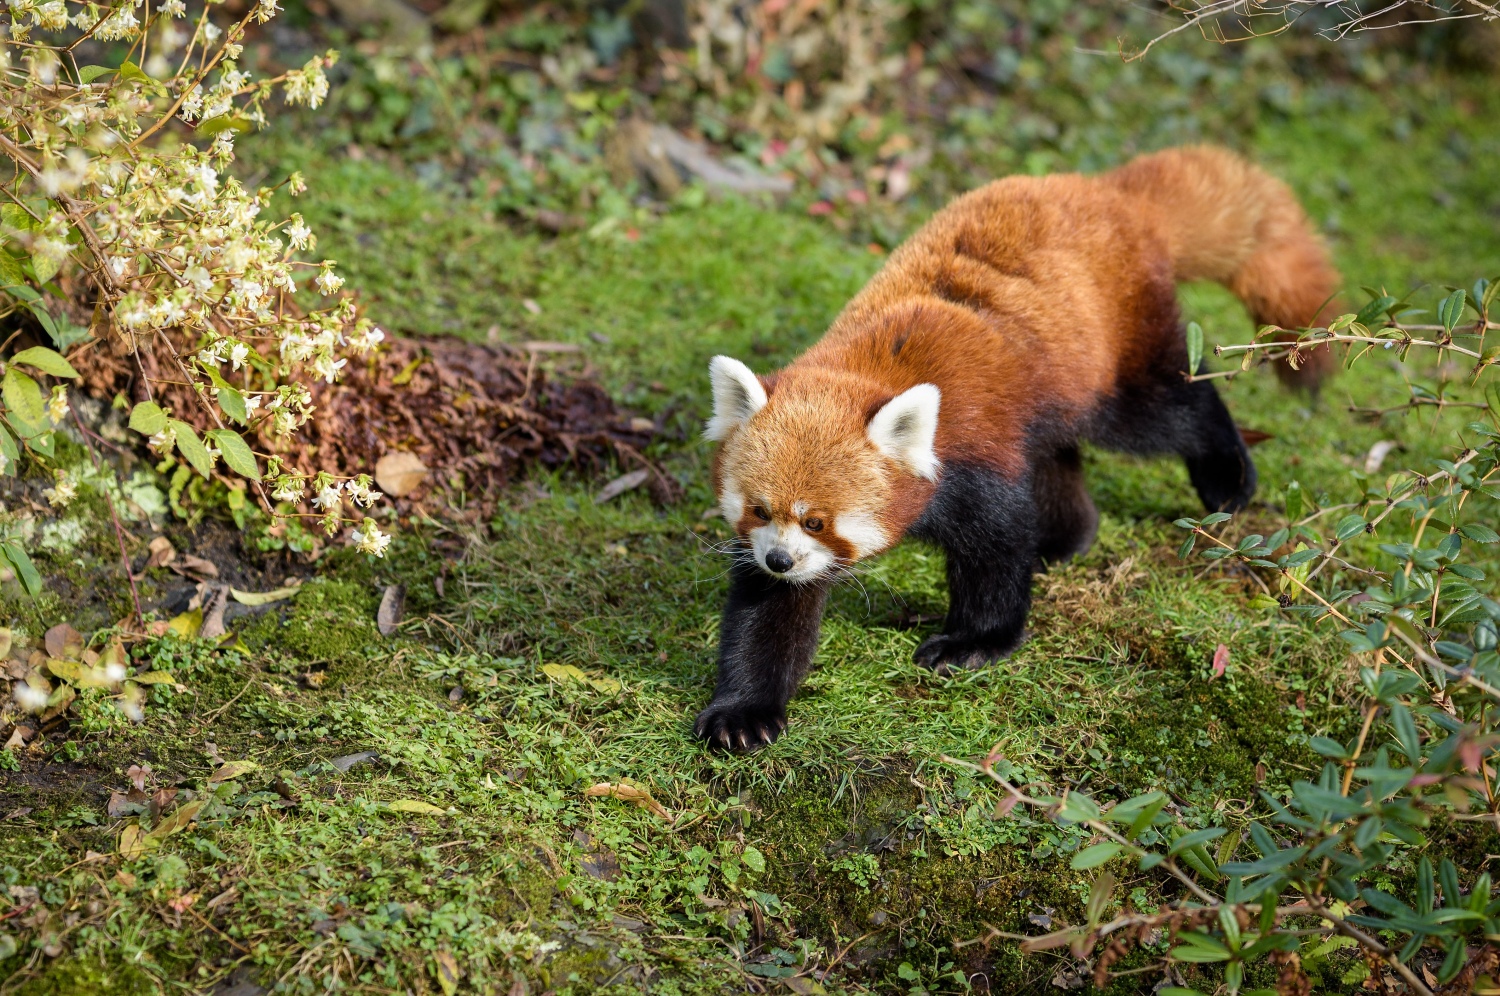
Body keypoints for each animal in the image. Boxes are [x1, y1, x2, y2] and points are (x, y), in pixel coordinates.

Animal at [696, 141, 1344, 747]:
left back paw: (1228, 478)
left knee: (1171, 409)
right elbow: (771, 613)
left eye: (818, 522)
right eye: (761, 511)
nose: (779, 559)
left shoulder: (972, 456)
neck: (867, 370)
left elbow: (996, 549)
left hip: (1116, 350)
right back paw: (1061, 539)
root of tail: (1104, 190)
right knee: (1056, 454)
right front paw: (745, 712)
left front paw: (971, 644)